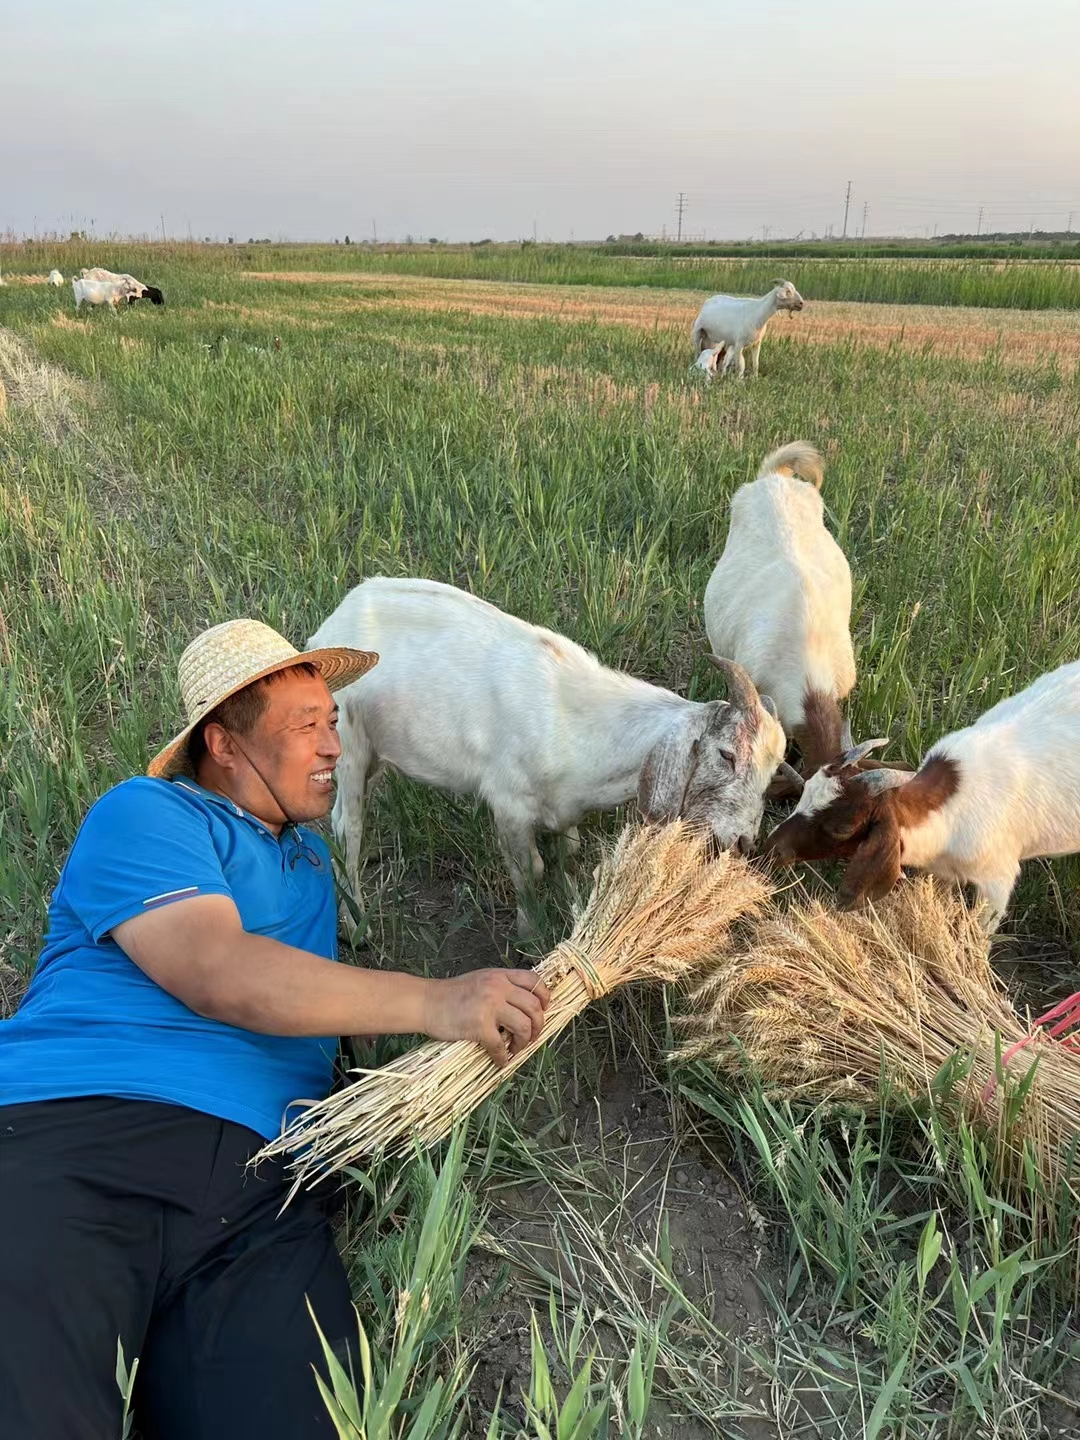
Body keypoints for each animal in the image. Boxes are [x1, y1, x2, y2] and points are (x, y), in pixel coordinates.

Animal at [308, 576, 800, 927]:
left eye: (773, 770)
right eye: (726, 754)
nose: (743, 842)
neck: (581, 723)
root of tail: (333, 622)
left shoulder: (566, 808)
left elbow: (570, 854)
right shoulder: (508, 805)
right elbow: (531, 871)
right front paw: (530, 932)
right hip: (348, 747)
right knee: (347, 826)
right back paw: (356, 923)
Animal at [766, 659, 1080, 927]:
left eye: (843, 828)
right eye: (804, 794)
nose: (770, 848)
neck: (952, 805)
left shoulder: (997, 881)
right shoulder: (941, 873)